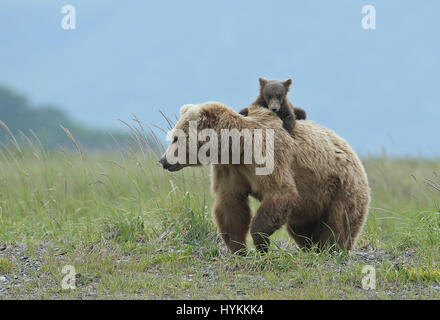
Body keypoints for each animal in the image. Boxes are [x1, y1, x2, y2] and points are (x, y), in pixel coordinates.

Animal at [160, 102, 370, 255]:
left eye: (175, 138)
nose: (163, 160)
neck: (235, 147)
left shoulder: (268, 154)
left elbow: (280, 192)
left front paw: (261, 244)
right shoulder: (230, 169)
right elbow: (230, 204)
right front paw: (238, 248)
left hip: (341, 188)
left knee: (338, 224)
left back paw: (331, 249)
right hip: (311, 203)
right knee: (300, 228)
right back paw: (311, 247)